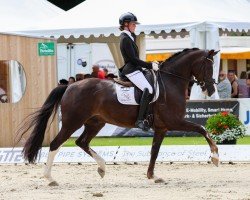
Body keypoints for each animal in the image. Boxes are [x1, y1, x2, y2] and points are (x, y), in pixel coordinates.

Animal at [19, 47, 219, 185]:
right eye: (208, 66)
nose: (210, 89)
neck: (171, 81)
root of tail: (69, 86)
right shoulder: (174, 121)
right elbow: (202, 128)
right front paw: (215, 157)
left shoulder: (162, 127)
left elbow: (154, 151)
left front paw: (152, 176)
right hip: (72, 122)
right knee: (56, 143)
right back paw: (50, 178)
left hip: (95, 123)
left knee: (81, 142)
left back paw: (102, 167)